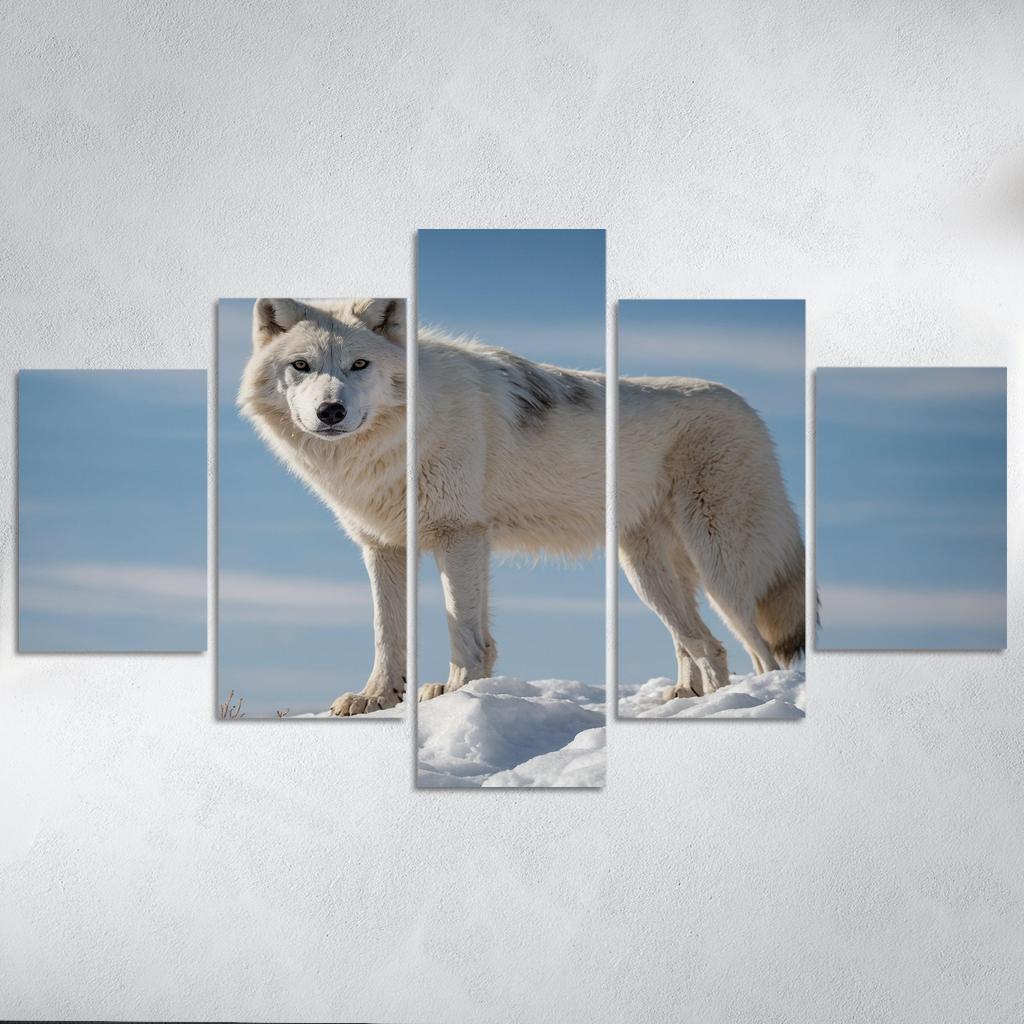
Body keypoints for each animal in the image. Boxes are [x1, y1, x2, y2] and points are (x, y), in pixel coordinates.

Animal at [240, 298, 805, 716]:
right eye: (301, 366)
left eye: (360, 365)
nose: (330, 411)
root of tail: (750, 409)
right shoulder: (385, 547)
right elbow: (388, 633)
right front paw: (378, 698)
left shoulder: (460, 533)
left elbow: (461, 628)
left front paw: (456, 692)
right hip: (646, 574)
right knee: (700, 642)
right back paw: (689, 697)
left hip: (720, 567)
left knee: (757, 651)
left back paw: (749, 702)